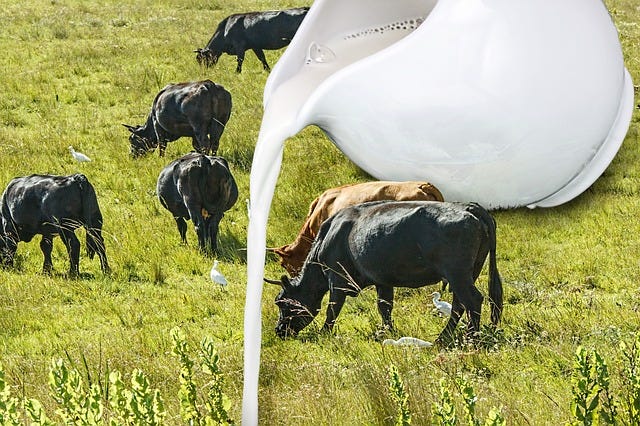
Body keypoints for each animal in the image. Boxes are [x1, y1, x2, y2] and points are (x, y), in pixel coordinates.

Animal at [267, 201, 503, 344]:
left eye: (282, 303)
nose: (279, 330)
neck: (326, 238)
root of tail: (468, 206)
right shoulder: (383, 280)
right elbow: (385, 307)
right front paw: (387, 330)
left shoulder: (337, 280)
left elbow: (332, 309)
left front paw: (323, 333)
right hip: (468, 272)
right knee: (459, 304)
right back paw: (443, 338)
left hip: (457, 273)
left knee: (473, 300)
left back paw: (472, 338)